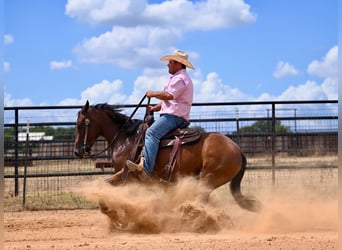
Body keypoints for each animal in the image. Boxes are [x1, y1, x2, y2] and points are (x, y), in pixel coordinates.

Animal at [74, 100, 260, 213]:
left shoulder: (127, 174)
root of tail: (237, 149)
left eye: (80, 124)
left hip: (208, 178)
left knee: (202, 200)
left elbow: (106, 186)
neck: (126, 138)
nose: (77, 151)